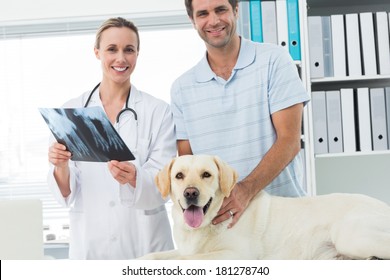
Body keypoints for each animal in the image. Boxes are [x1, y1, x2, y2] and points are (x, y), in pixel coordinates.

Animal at [142, 154, 390, 260]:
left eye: (206, 175)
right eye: (179, 176)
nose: (190, 193)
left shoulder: (234, 255)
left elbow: (183, 261)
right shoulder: (184, 249)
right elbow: (154, 256)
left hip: (351, 237)